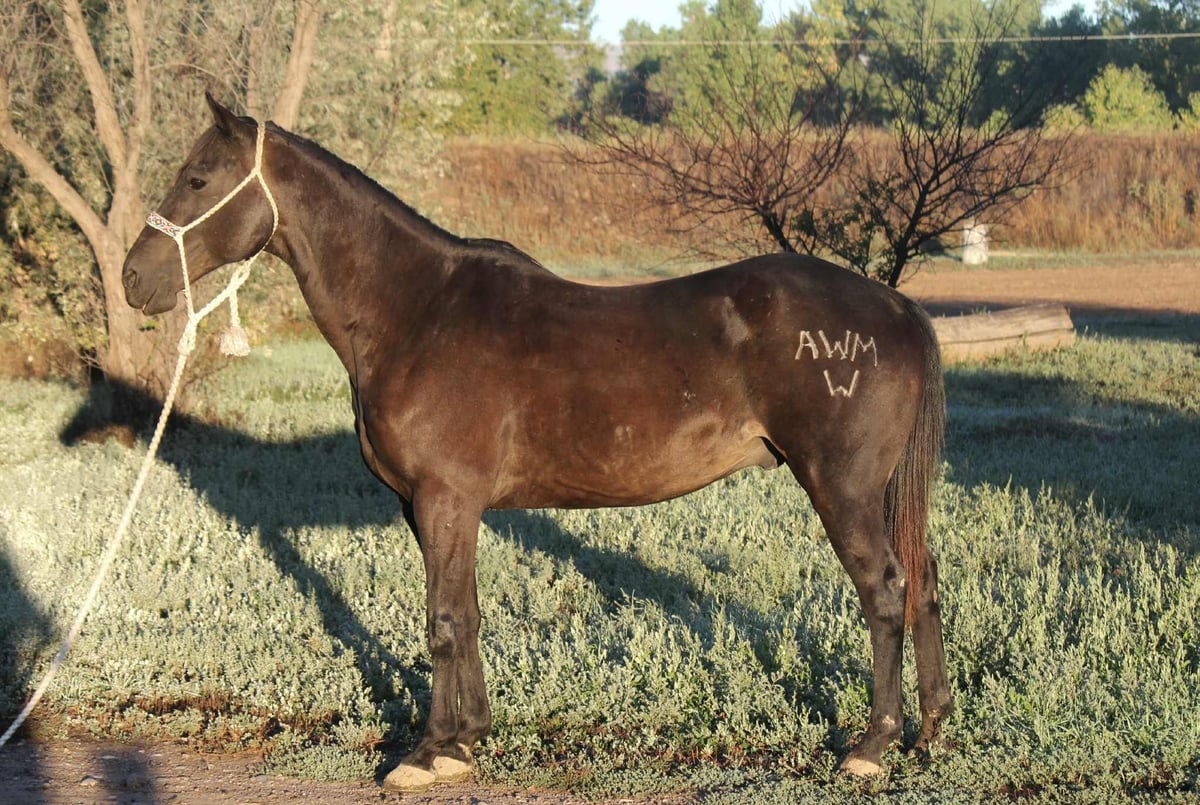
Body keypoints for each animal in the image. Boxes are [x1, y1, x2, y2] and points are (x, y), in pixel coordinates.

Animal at [122, 94, 952, 793]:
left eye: (197, 178)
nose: (134, 279)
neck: (417, 310)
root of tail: (895, 305)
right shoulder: (433, 507)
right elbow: (465, 610)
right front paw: (464, 741)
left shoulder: (444, 498)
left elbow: (442, 620)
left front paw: (425, 753)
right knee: (923, 577)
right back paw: (931, 727)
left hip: (840, 485)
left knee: (885, 587)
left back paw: (872, 744)